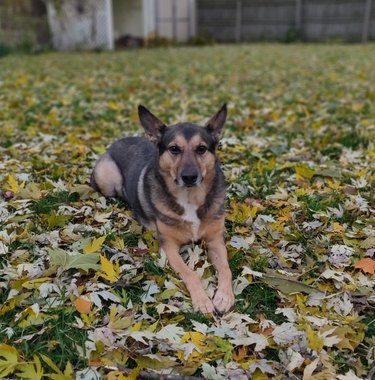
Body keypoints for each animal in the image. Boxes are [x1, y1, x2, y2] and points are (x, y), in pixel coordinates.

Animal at [90, 105, 235, 314]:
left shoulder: (215, 240)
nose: (189, 177)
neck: (190, 199)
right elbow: (190, 273)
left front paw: (224, 295)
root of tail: (117, 142)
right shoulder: (169, 247)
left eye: (201, 149)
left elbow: (225, 268)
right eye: (174, 149)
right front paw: (202, 300)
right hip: (107, 178)